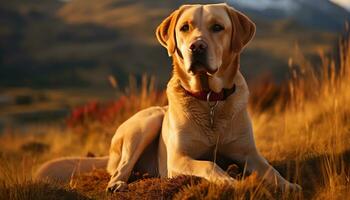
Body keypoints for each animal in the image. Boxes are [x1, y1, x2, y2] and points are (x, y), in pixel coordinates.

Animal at [35, 3, 300, 193]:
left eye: (217, 27)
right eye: (185, 27)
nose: (196, 47)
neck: (209, 99)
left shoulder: (249, 153)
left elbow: (270, 170)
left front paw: (288, 185)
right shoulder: (178, 159)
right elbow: (208, 164)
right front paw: (228, 181)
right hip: (147, 122)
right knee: (121, 168)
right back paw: (117, 184)